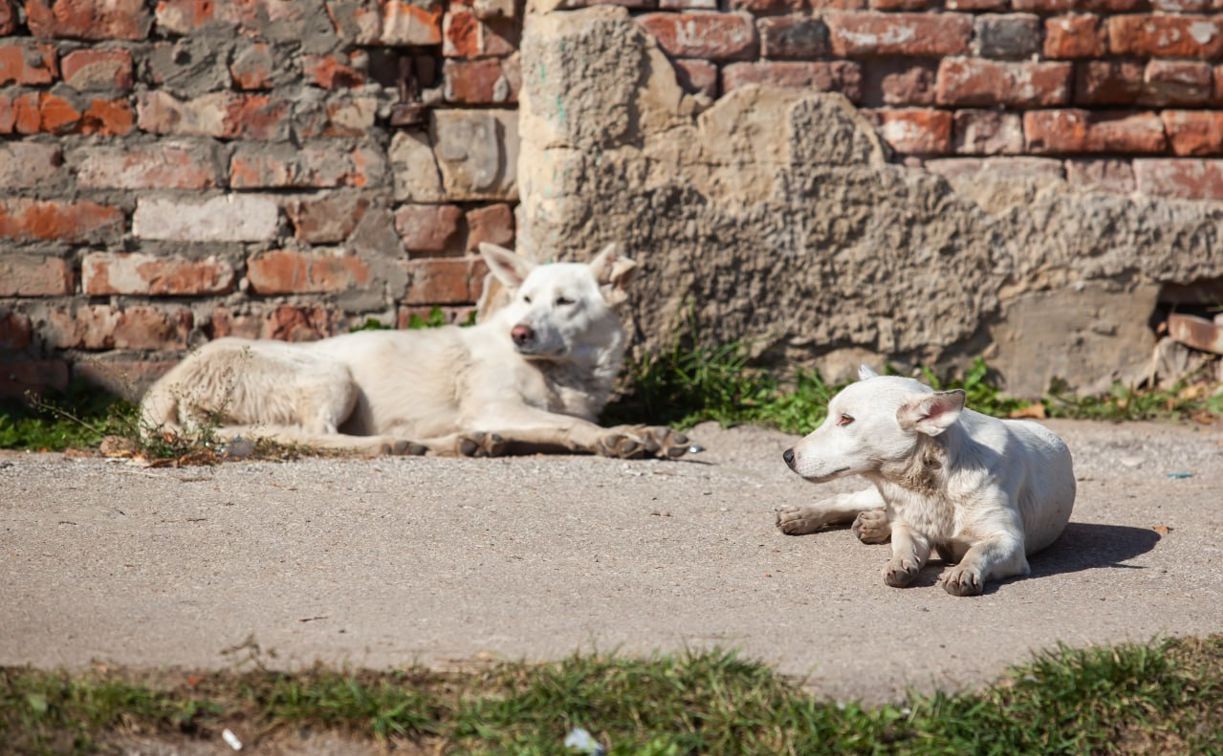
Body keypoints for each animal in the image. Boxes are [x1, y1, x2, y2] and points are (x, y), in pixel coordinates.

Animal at [140, 240, 694, 455]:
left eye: (565, 302)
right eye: (527, 299)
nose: (521, 334)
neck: (563, 373)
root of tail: (160, 392)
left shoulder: (508, 410)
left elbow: (565, 424)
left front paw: (644, 433)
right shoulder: (493, 404)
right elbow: (573, 426)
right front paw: (616, 438)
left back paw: (466, 444)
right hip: (331, 375)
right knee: (314, 437)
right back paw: (398, 445)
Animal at [777, 366, 1076, 594]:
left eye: (846, 419)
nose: (787, 455)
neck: (935, 483)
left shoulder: (1009, 544)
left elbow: (979, 551)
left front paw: (964, 570)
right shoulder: (912, 528)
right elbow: (903, 544)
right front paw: (899, 562)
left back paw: (875, 524)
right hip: (872, 496)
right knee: (847, 500)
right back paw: (803, 515)